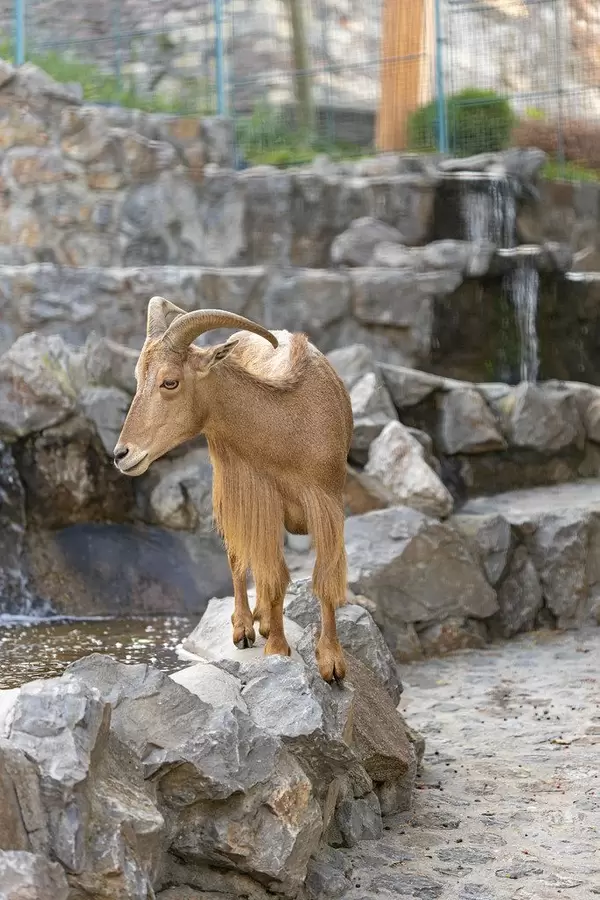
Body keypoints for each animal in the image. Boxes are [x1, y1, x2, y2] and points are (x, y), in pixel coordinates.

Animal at [114, 298, 353, 682]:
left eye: (170, 382)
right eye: (138, 379)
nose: (122, 454)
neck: (288, 427)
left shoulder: (328, 503)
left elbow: (323, 578)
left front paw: (332, 662)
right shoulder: (260, 498)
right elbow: (274, 575)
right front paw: (277, 649)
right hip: (230, 485)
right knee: (238, 557)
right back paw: (245, 627)